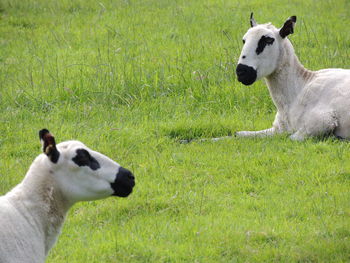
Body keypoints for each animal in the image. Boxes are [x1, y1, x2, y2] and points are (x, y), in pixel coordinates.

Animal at [235, 13, 350, 141]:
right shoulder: (278, 128)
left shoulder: (324, 121)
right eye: (244, 40)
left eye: (268, 40)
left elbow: (290, 138)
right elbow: (238, 133)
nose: (241, 71)